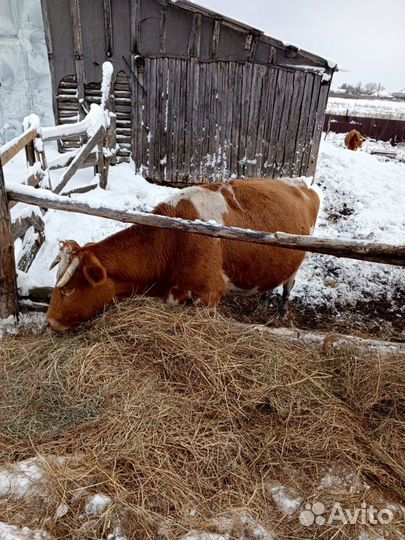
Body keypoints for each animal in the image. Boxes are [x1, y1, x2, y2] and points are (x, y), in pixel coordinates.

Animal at [46, 179, 318, 332]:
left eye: (67, 289)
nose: (49, 322)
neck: (175, 239)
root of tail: (300, 185)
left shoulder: (209, 295)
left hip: (298, 260)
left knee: (288, 287)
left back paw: (281, 314)